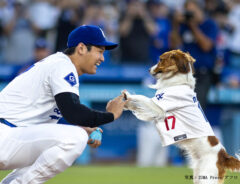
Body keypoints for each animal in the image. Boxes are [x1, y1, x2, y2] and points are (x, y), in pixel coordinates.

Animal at [124, 49, 240, 183]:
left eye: (161, 59)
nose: (148, 69)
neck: (178, 82)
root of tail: (224, 156)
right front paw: (126, 104)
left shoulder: (158, 107)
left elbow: (142, 98)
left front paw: (127, 97)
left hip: (207, 177)